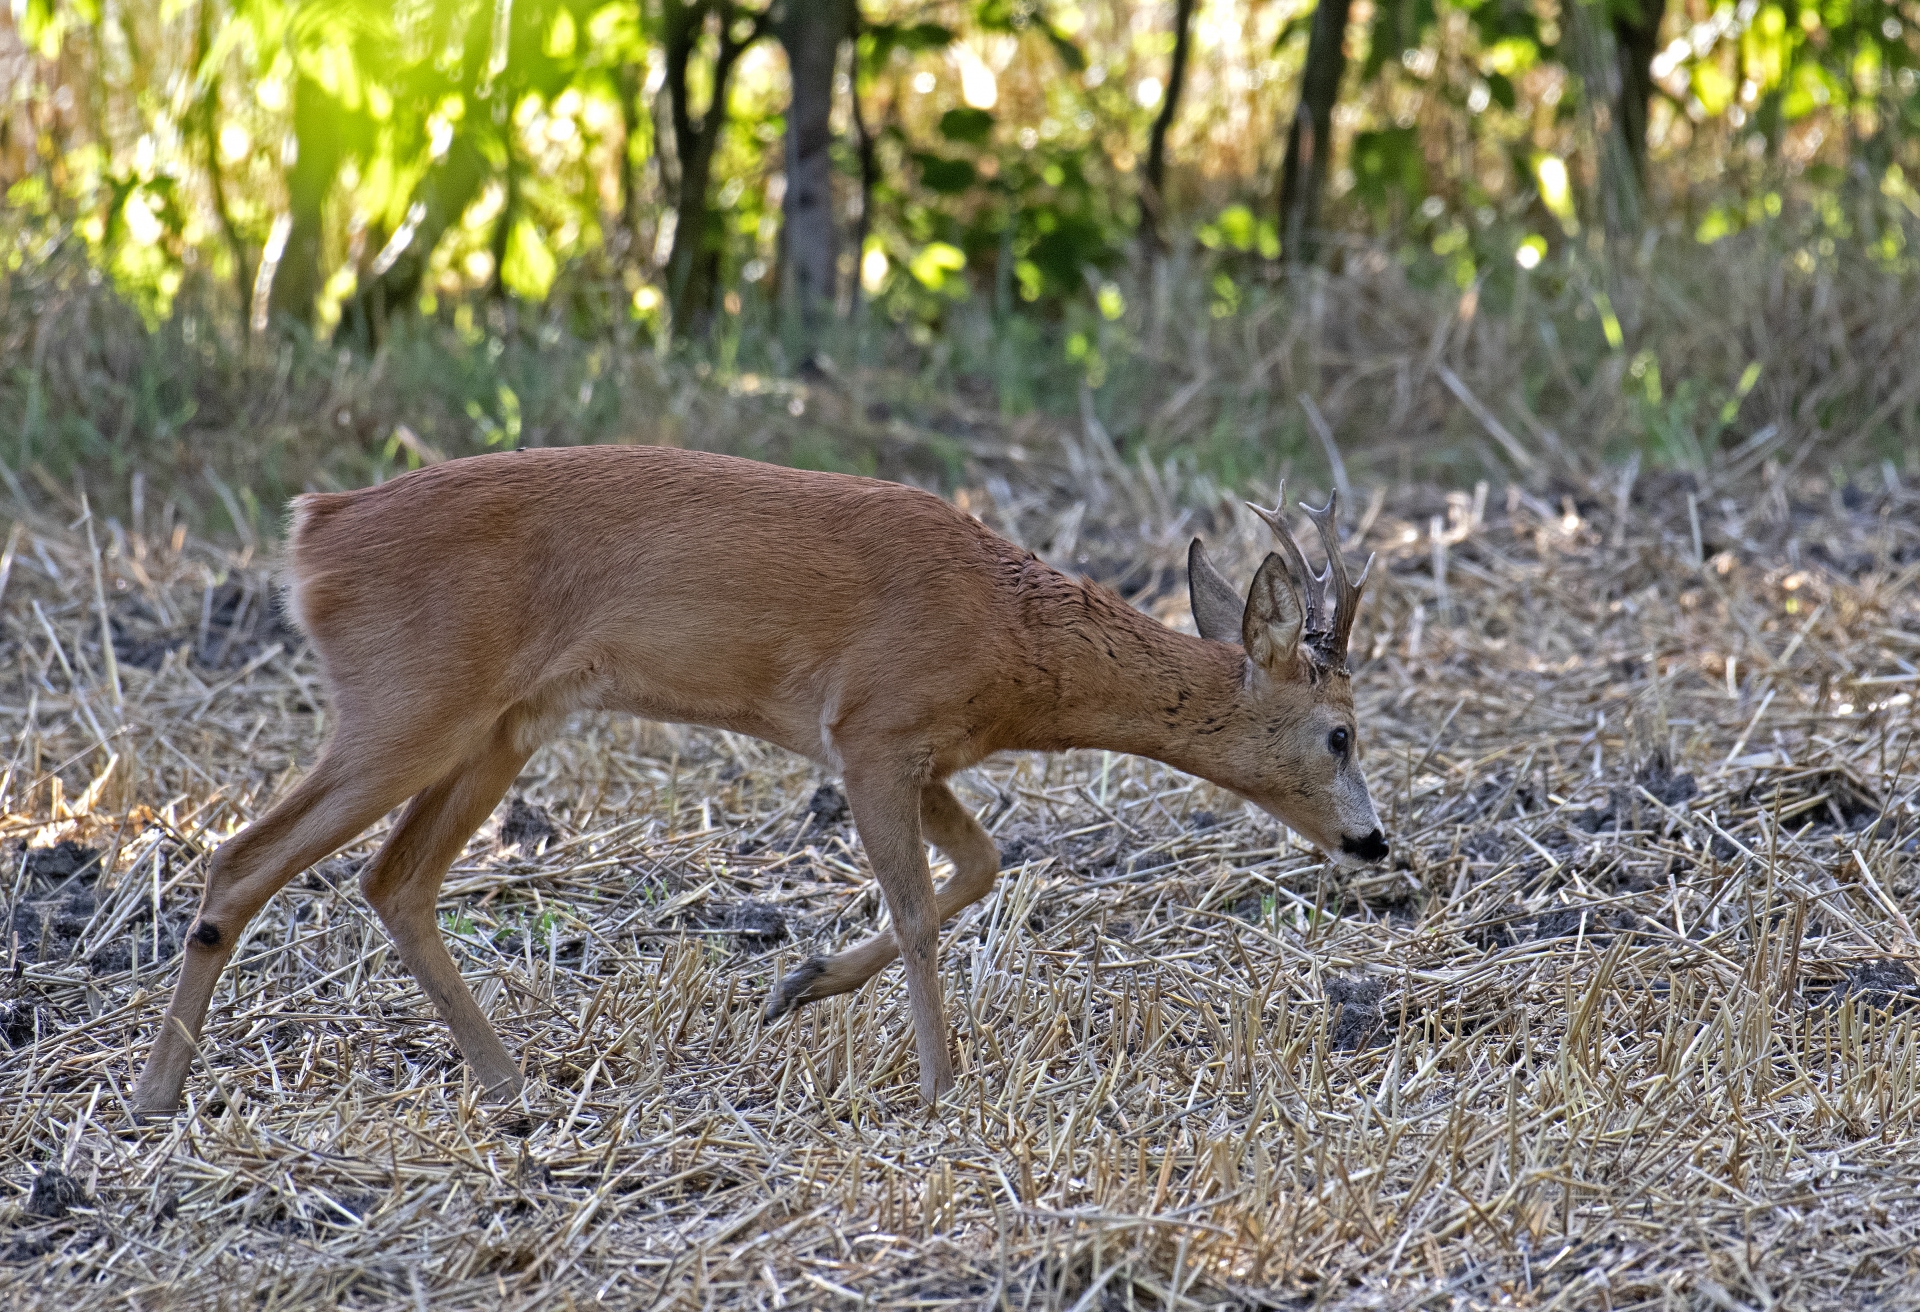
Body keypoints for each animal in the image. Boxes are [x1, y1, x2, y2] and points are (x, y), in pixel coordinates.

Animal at [135, 445, 1390, 1114]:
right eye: (1341, 733)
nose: (1373, 841)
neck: (1009, 638)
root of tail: (314, 534)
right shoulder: (874, 729)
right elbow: (921, 907)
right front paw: (941, 1084)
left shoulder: (906, 747)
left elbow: (979, 864)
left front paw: (799, 984)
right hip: (406, 705)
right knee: (242, 855)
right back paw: (156, 1095)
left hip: (496, 731)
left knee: (394, 882)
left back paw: (509, 1083)